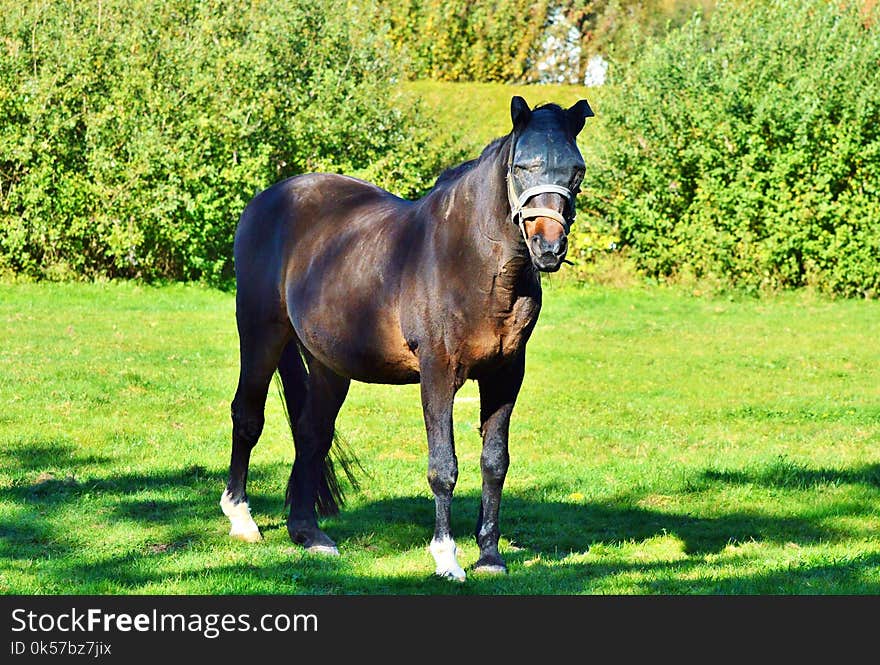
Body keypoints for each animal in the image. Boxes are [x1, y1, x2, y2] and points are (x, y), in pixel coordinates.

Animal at [220, 96, 596, 580]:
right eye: (521, 166)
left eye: (576, 170)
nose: (548, 248)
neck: (473, 262)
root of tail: (269, 199)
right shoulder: (438, 372)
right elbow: (443, 467)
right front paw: (447, 558)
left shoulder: (506, 375)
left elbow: (494, 463)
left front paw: (490, 557)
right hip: (261, 334)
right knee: (247, 416)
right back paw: (242, 519)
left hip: (328, 365)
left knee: (311, 433)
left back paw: (309, 533)